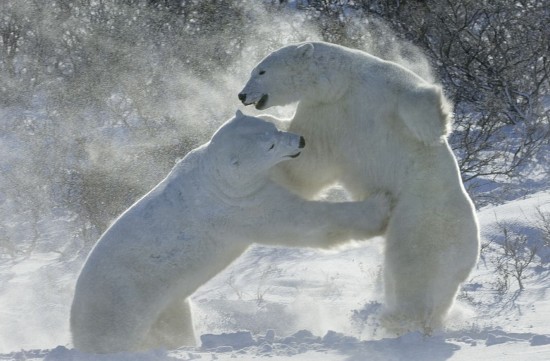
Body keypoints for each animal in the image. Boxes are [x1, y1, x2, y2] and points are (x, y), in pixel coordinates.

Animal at [71, 110, 392, 352]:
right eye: (269, 146)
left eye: (272, 128)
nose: (300, 140)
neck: (214, 175)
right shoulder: (241, 206)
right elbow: (302, 220)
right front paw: (380, 205)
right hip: (121, 305)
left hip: (166, 306)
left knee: (174, 323)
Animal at [239, 40, 480, 334]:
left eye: (261, 71)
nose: (241, 95)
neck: (340, 85)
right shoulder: (325, 113)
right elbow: (309, 163)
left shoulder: (382, 85)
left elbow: (419, 100)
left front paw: (432, 128)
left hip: (424, 219)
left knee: (415, 267)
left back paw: (399, 318)